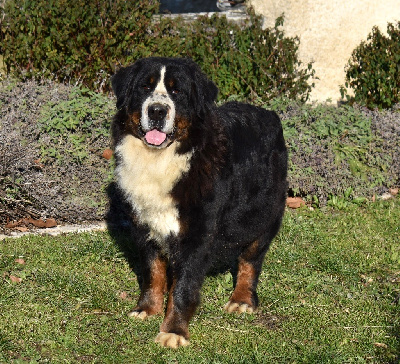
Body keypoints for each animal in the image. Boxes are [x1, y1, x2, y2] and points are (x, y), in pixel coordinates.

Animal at [111, 57, 286, 350]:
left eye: (177, 91)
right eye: (144, 88)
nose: (157, 111)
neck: (162, 160)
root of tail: (270, 114)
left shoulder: (196, 234)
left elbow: (183, 287)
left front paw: (174, 331)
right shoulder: (144, 228)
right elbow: (153, 273)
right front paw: (147, 308)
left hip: (262, 216)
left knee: (250, 260)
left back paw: (242, 299)